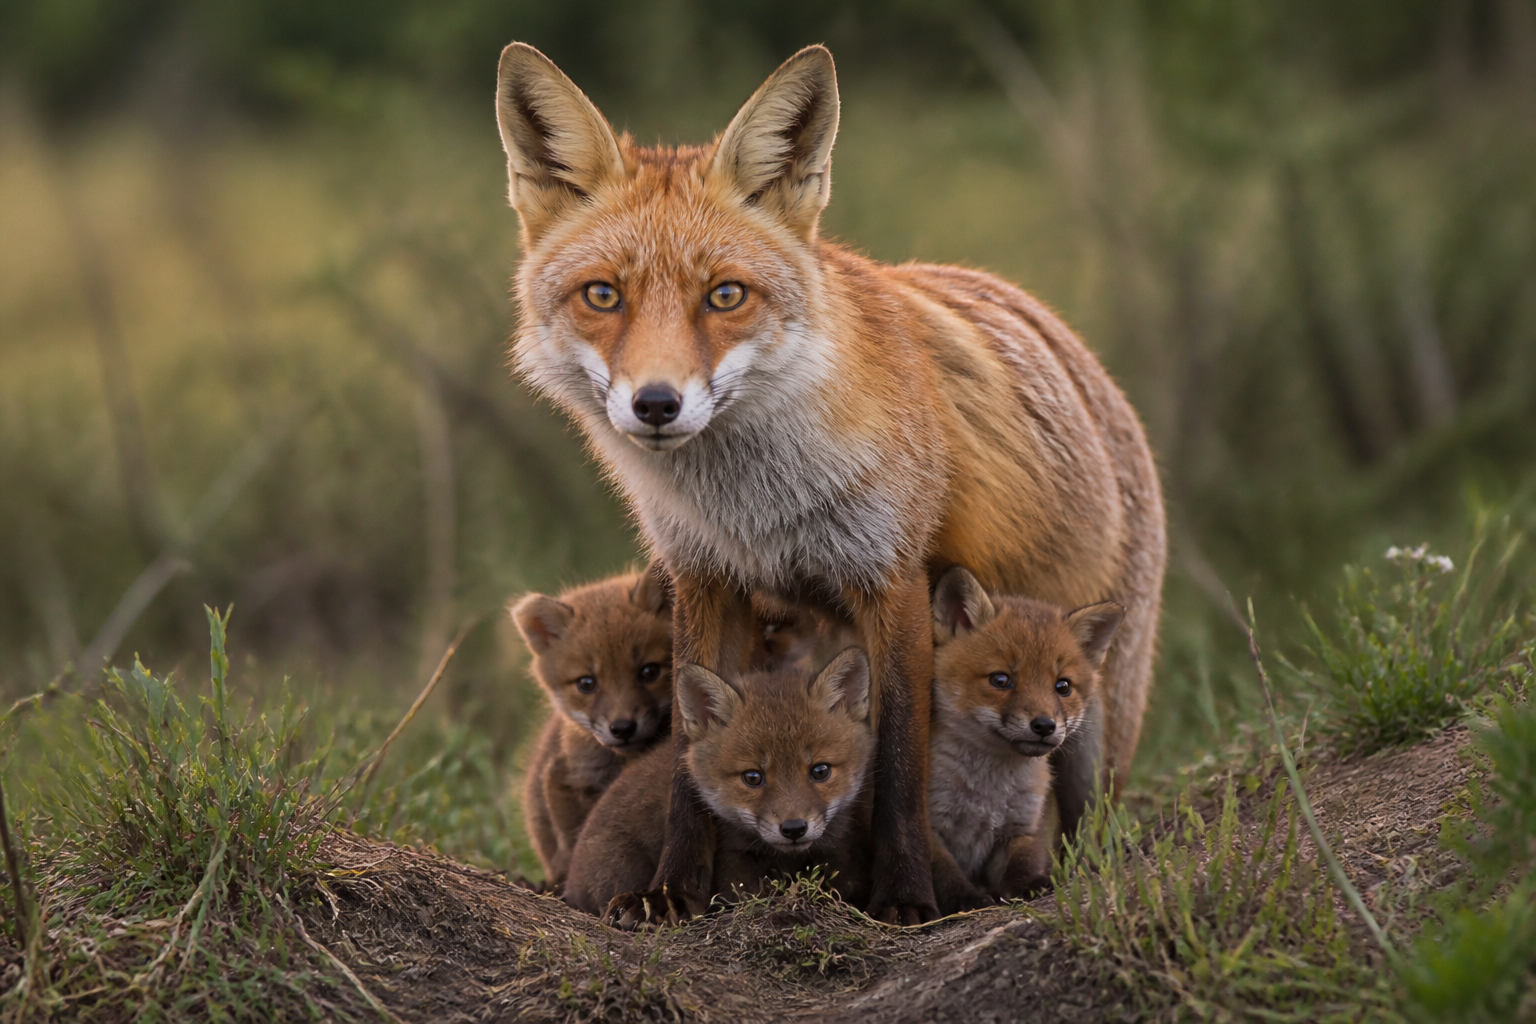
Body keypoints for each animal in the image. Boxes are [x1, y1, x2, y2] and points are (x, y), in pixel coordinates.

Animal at [511, 565, 674, 888]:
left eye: (650, 671)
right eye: (587, 683)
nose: (622, 728)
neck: (621, 762)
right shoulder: (569, 778)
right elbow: (574, 843)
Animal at [563, 648, 875, 919]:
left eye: (820, 771)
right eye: (752, 777)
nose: (794, 829)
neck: (787, 860)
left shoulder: (837, 855)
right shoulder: (732, 867)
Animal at [925, 566, 1124, 914]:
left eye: (1063, 686)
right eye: (1000, 680)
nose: (1044, 725)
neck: (987, 791)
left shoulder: (1023, 825)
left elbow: (1026, 861)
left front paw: (1030, 886)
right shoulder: (927, 826)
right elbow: (944, 871)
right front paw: (965, 899)